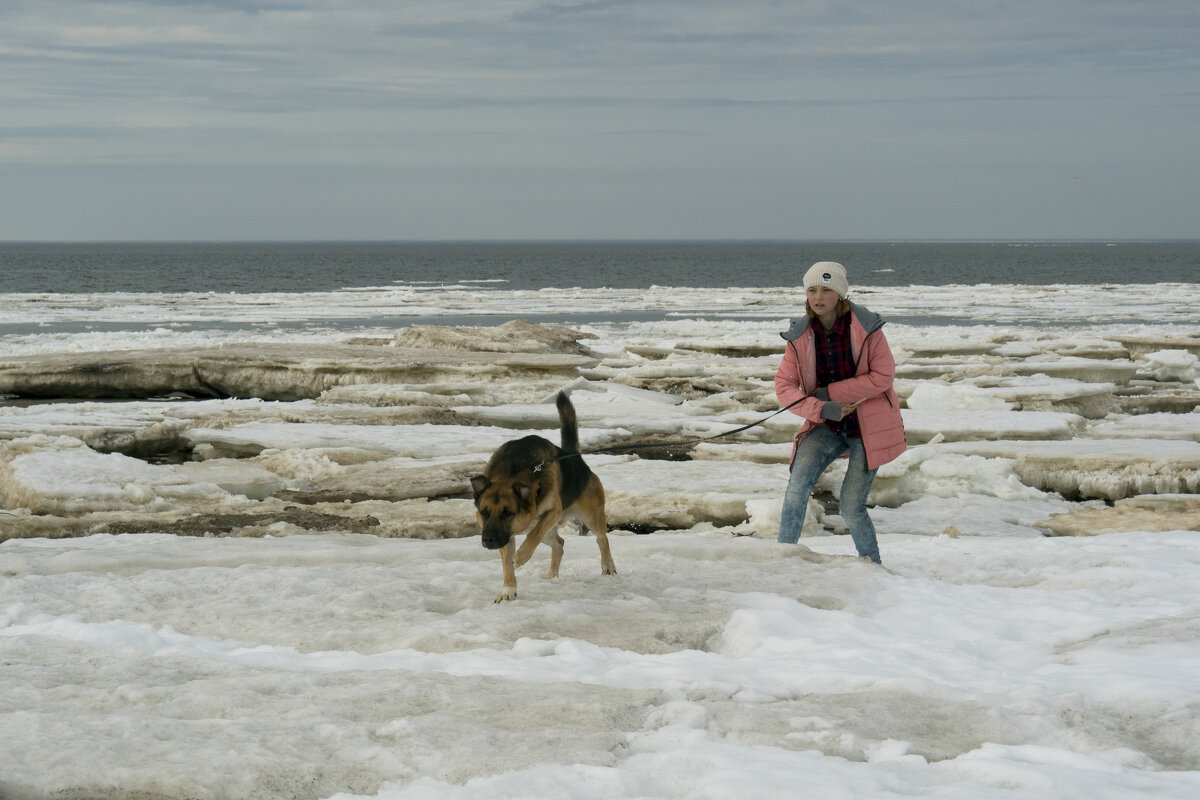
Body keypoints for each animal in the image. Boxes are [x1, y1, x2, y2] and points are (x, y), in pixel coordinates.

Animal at [468, 391, 619, 604]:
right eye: (484, 512)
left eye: (507, 513)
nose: (488, 540)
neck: (514, 471)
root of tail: (574, 456)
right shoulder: (506, 536)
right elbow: (506, 564)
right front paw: (508, 590)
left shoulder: (552, 511)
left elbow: (532, 537)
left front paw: (519, 558)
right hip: (551, 531)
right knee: (560, 544)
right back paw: (552, 577)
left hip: (590, 516)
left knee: (601, 538)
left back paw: (607, 565)